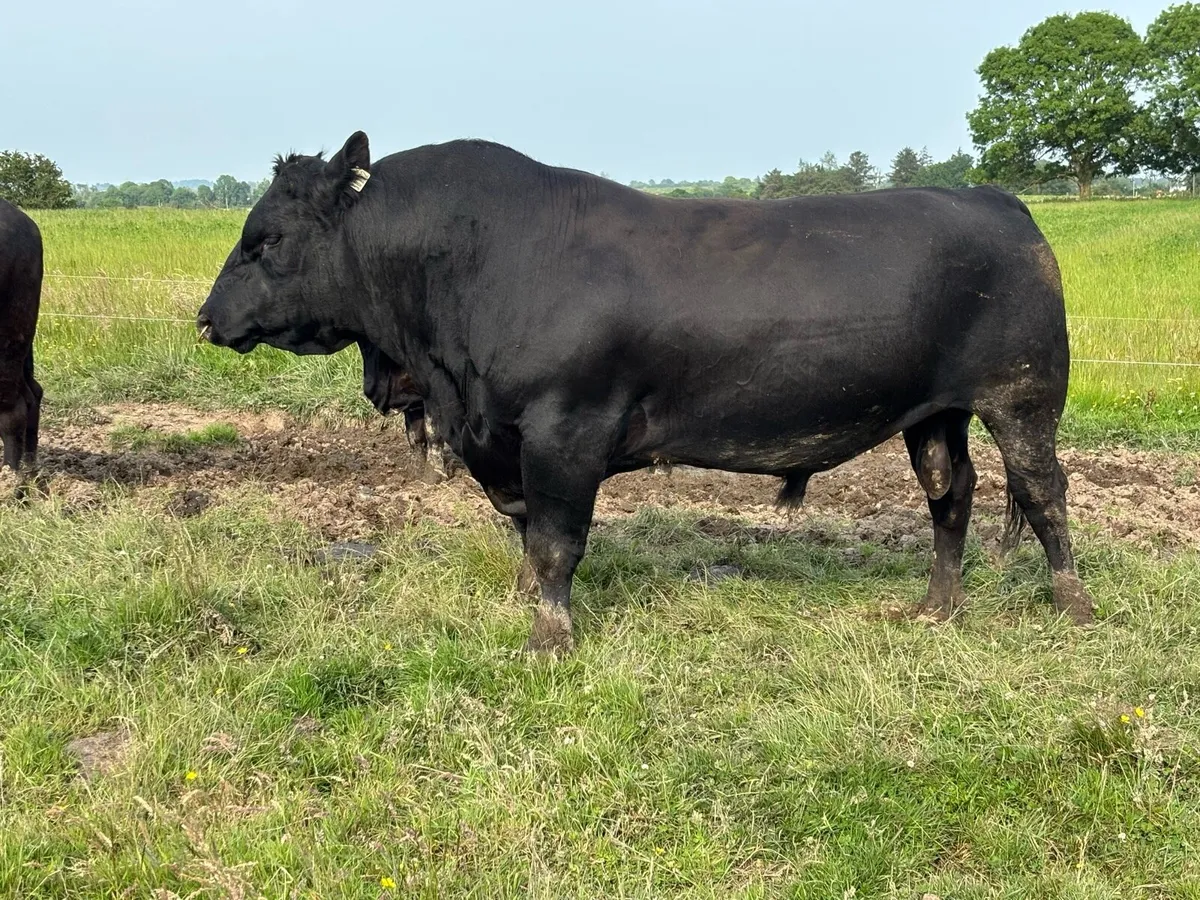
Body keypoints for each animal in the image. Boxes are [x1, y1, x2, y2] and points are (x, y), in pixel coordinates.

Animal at [198, 132, 1095, 653]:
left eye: (266, 238)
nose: (206, 318)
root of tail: (988, 196)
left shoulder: (565, 430)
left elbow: (556, 540)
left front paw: (549, 638)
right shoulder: (504, 439)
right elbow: (524, 529)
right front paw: (524, 603)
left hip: (1023, 395)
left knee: (1042, 492)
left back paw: (1072, 604)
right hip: (936, 411)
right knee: (952, 492)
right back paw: (936, 608)